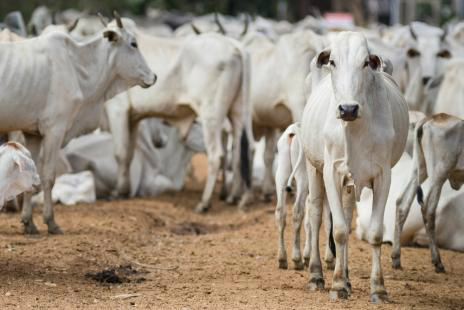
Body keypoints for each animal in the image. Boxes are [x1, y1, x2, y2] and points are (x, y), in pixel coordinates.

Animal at [105, 18, 252, 213]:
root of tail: (236, 47)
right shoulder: (133, 117)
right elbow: (129, 154)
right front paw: (124, 191)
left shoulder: (117, 110)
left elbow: (120, 153)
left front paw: (117, 192)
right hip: (239, 112)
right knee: (242, 151)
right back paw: (237, 198)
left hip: (211, 114)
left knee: (217, 155)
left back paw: (204, 203)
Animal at [300, 32, 408, 302]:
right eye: (333, 62)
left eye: (365, 63)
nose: (348, 109)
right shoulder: (330, 172)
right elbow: (337, 230)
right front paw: (337, 285)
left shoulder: (383, 175)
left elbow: (375, 233)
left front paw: (378, 288)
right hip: (312, 167)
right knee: (315, 215)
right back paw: (316, 276)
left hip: (349, 183)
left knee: (347, 216)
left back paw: (347, 277)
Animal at [392, 112, 464, 272]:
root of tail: (430, 118)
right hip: (438, 174)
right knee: (428, 209)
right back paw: (437, 262)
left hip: (419, 169)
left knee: (402, 203)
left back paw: (396, 258)